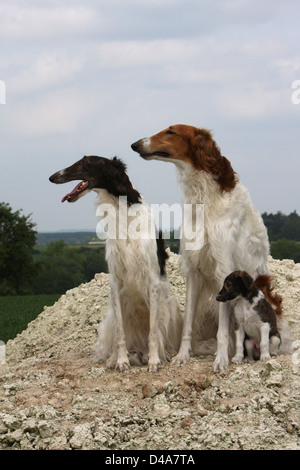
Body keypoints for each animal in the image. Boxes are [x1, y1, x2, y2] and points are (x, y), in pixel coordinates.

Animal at [49, 156, 183, 372]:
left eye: (85, 163)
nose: (52, 177)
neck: (122, 211)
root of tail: (139, 349)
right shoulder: (116, 282)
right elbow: (121, 334)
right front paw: (121, 361)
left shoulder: (152, 281)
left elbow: (154, 331)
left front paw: (155, 361)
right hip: (109, 318)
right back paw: (114, 358)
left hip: (171, 306)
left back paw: (162, 354)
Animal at [131, 125, 290, 370]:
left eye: (171, 132)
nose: (135, 144)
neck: (205, 198)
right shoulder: (193, 271)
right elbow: (187, 324)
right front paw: (182, 356)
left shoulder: (223, 271)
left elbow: (223, 332)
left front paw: (221, 360)